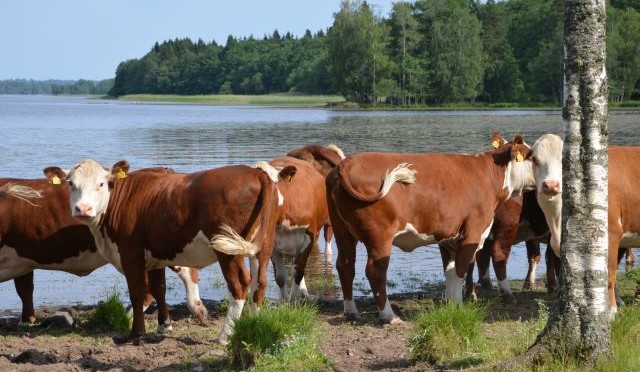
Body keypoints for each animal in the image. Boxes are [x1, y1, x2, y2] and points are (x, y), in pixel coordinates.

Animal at [61, 160, 296, 342]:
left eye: (101, 184)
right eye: (71, 184)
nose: (83, 209)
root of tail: (254, 172)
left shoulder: (131, 254)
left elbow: (137, 293)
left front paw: (136, 334)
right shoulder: (155, 257)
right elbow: (159, 289)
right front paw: (163, 326)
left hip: (228, 250)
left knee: (239, 285)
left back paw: (224, 336)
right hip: (263, 247)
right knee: (259, 284)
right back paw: (252, 325)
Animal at [328, 135, 532, 324]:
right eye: (532, 156)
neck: (490, 175)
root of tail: (347, 162)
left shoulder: (449, 238)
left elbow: (450, 272)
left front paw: (451, 304)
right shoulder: (473, 231)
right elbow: (460, 270)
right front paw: (458, 306)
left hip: (342, 231)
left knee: (345, 265)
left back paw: (351, 312)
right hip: (380, 236)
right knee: (375, 271)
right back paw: (389, 316)